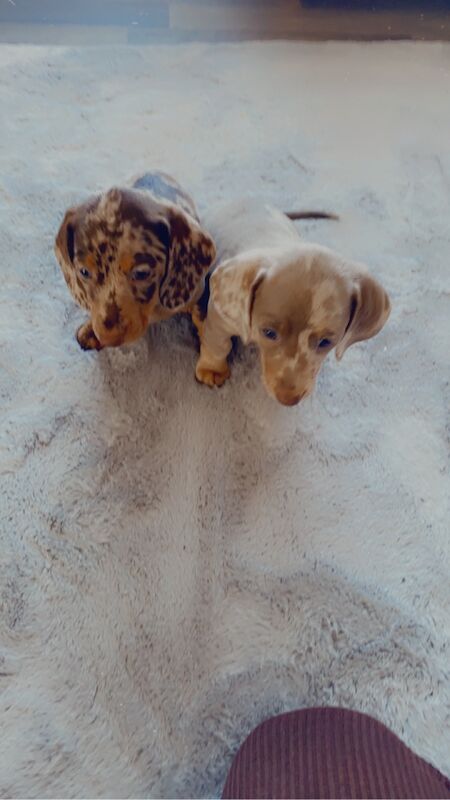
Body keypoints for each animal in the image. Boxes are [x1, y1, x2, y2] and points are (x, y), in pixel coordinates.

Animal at [54, 172, 216, 350]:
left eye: (141, 273)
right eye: (84, 272)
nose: (109, 338)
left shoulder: (199, 291)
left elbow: (204, 319)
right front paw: (91, 330)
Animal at [193, 195, 390, 406]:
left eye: (326, 342)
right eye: (269, 332)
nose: (288, 399)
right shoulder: (220, 317)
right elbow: (218, 344)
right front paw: (212, 369)